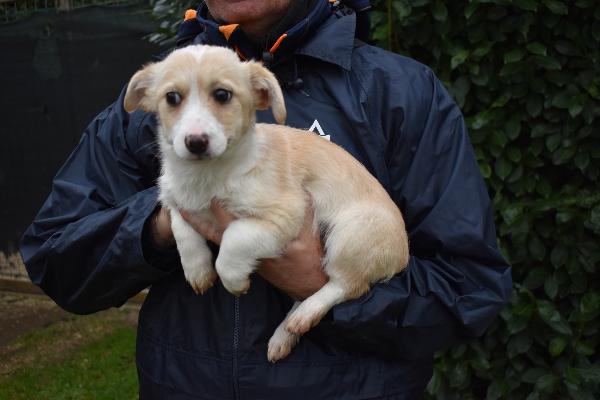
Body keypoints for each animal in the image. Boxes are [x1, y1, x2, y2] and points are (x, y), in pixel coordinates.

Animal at [124, 44, 410, 362]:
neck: (206, 176)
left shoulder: (284, 214)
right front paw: (197, 271)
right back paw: (284, 335)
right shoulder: (175, 198)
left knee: (346, 284)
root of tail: (403, 255)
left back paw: (304, 316)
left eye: (222, 95)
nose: (195, 142)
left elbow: (234, 239)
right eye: (172, 98)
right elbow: (181, 228)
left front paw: (233, 280)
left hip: (351, 235)